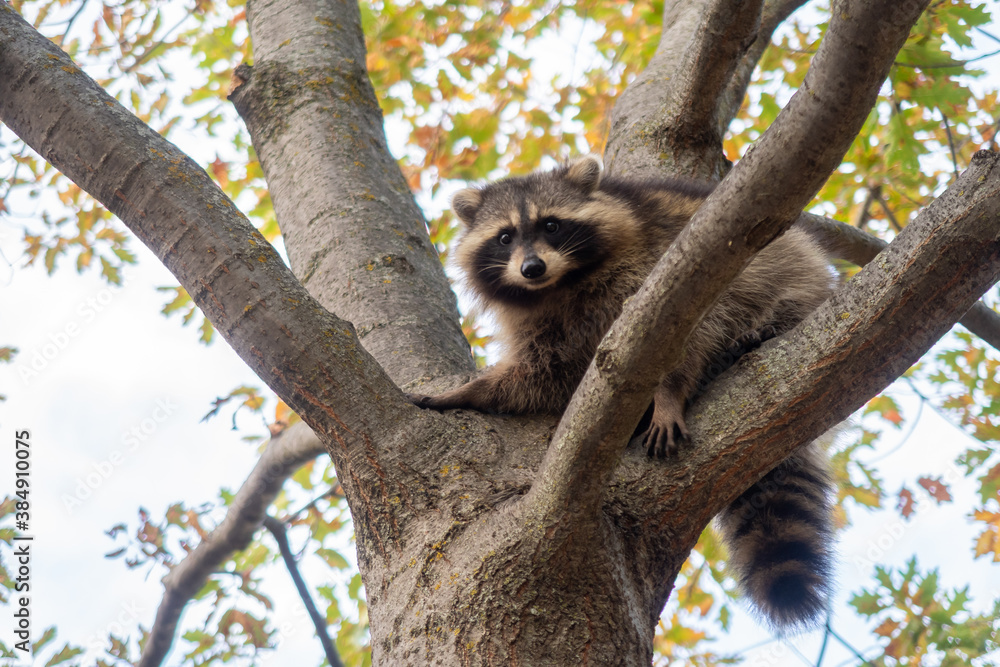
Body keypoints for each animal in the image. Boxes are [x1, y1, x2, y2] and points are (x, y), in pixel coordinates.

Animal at [409, 155, 835, 628]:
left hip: (797, 267)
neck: (561, 284)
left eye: (551, 225)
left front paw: (670, 392)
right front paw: (476, 390)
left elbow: (693, 331)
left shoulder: (662, 269)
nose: (532, 268)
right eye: (504, 237)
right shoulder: (543, 323)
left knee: (779, 286)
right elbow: (544, 373)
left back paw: (756, 334)